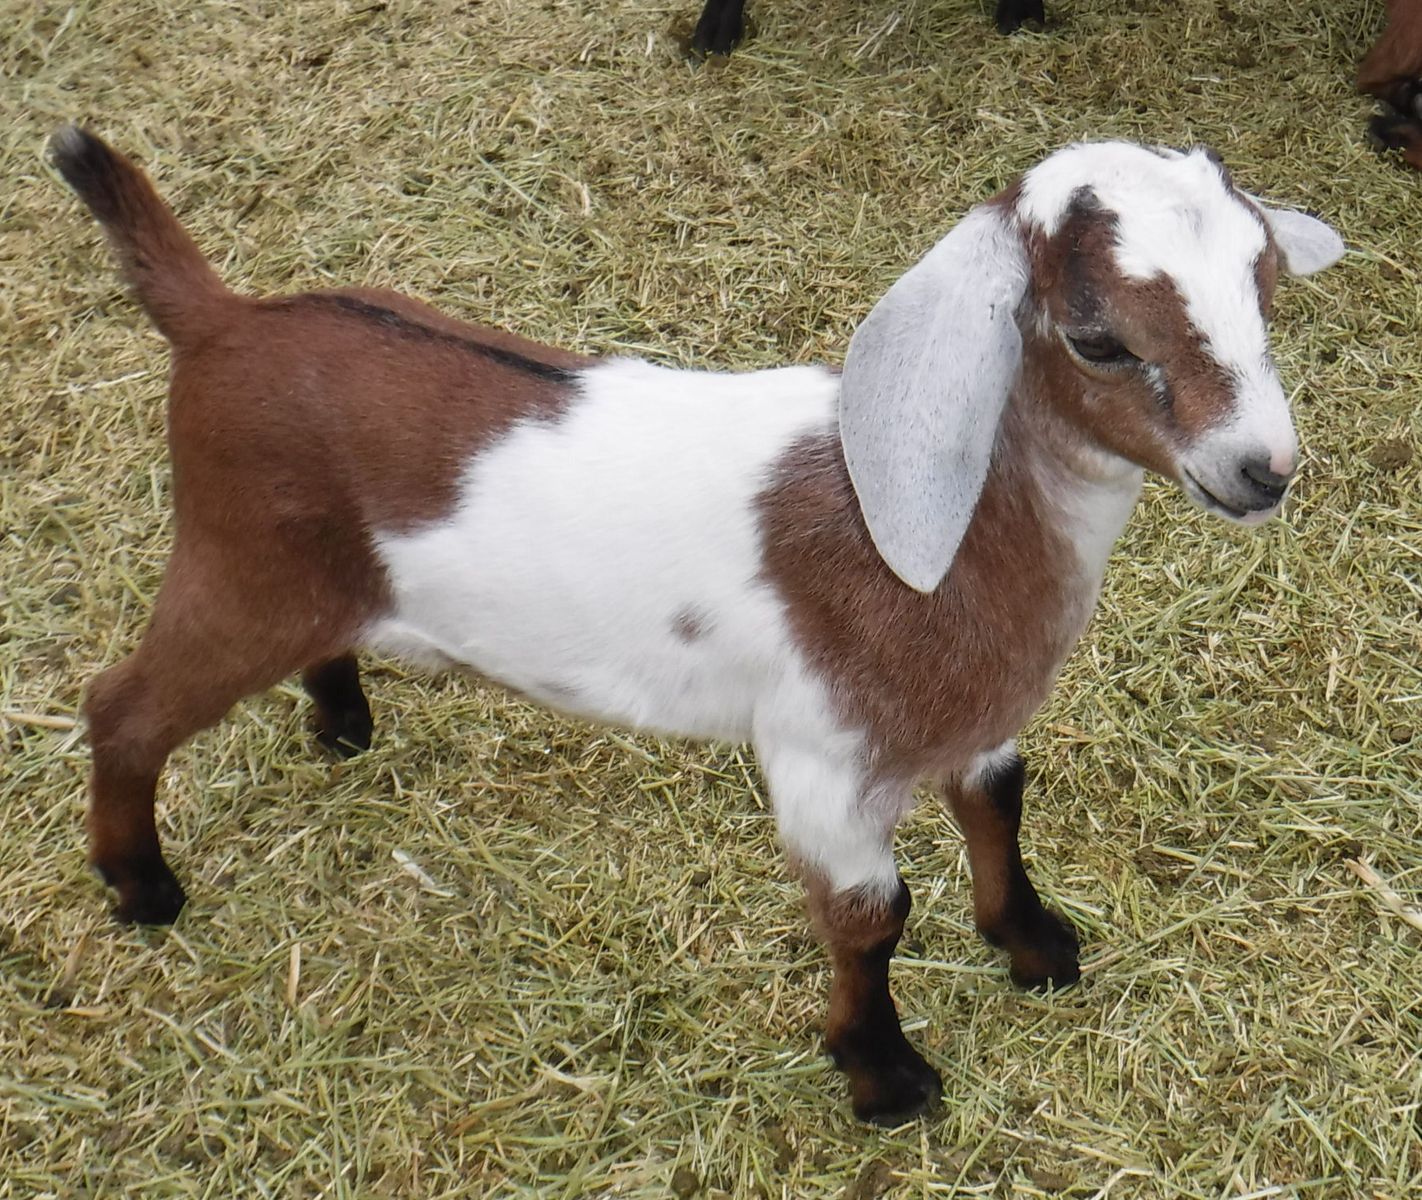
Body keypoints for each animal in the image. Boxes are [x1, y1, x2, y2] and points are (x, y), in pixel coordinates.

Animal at [53, 127, 1342, 1123]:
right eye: (1099, 339)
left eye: (1266, 290)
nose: (1262, 470)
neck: (952, 534)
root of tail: (222, 323)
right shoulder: (819, 759)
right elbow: (870, 919)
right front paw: (886, 1080)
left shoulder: (977, 724)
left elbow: (998, 811)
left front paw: (1034, 948)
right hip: (234, 570)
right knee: (121, 707)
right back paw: (142, 886)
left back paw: (342, 724)